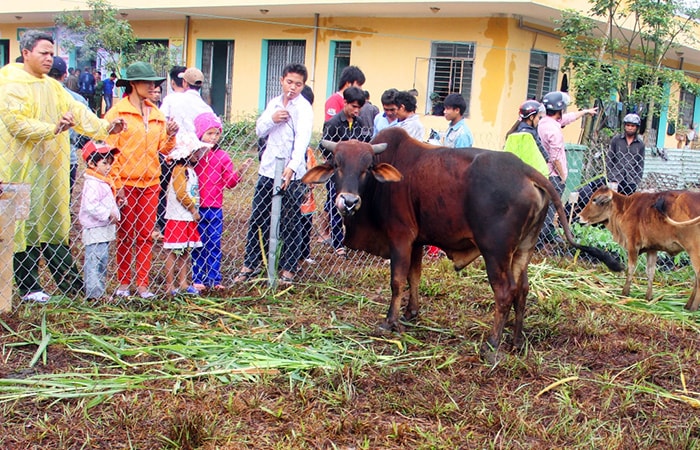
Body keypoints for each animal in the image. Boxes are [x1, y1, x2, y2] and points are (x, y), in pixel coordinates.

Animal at [300, 127, 616, 362]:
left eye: (367, 167)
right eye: (337, 165)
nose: (348, 201)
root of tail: (526, 170)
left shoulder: (400, 238)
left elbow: (397, 281)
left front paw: (390, 322)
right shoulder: (417, 242)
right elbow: (414, 277)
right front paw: (411, 313)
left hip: (495, 251)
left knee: (505, 292)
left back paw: (492, 345)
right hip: (522, 249)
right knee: (523, 290)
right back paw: (515, 341)